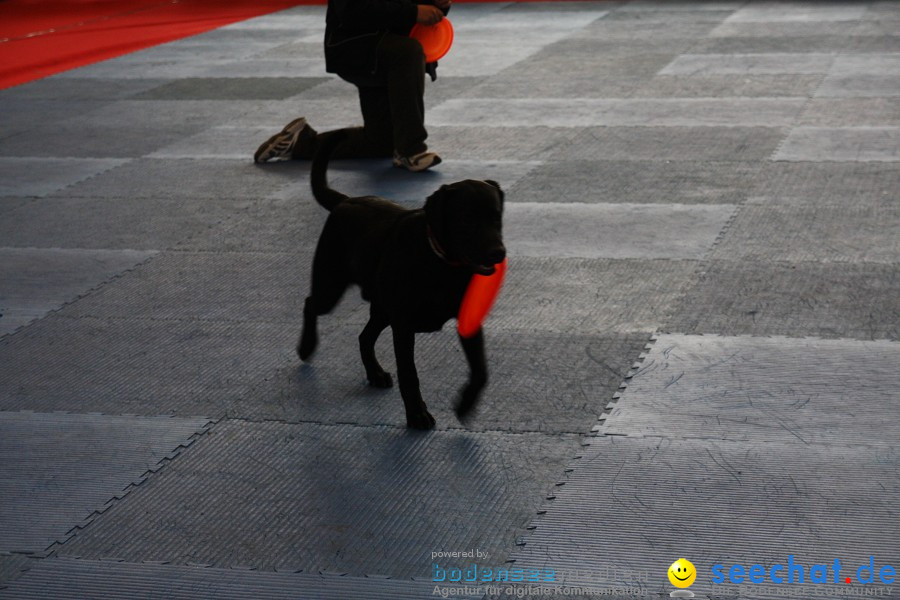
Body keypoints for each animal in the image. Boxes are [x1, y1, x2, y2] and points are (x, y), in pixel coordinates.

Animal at [298, 133, 502, 428]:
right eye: (465, 220)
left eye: (496, 217)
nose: (499, 252)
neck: (441, 264)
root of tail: (344, 201)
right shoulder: (403, 326)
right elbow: (409, 374)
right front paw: (417, 414)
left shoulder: (468, 320)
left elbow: (480, 371)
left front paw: (465, 404)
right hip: (331, 286)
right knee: (311, 303)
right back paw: (306, 346)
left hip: (382, 308)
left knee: (364, 337)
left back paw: (375, 373)